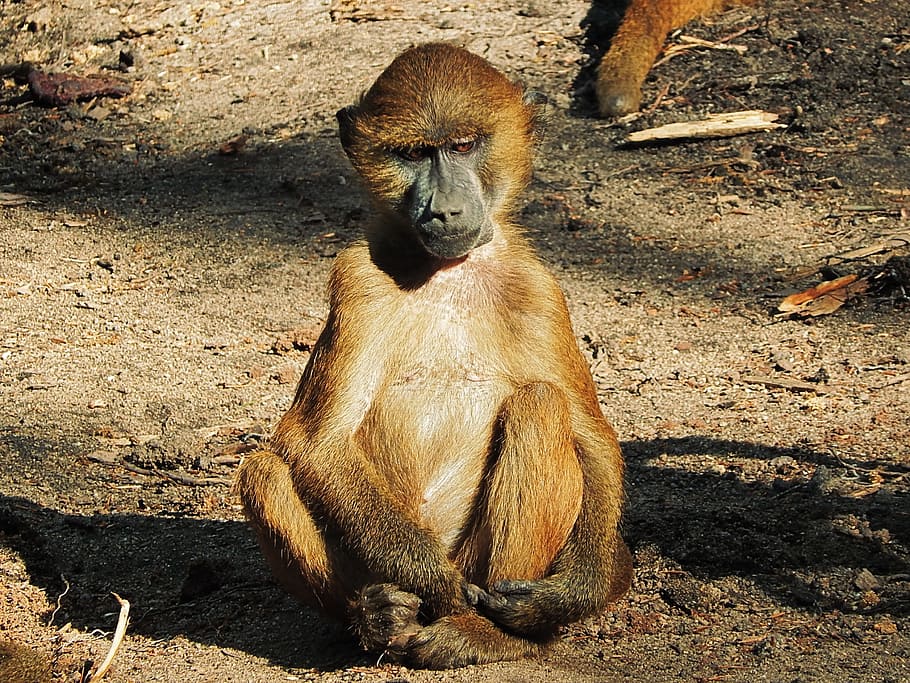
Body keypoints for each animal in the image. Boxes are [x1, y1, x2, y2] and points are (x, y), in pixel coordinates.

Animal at [236, 42, 632, 669]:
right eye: (414, 153)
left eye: (464, 145)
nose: (445, 210)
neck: (447, 273)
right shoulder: (356, 282)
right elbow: (316, 442)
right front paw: (436, 588)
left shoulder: (541, 291)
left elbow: (591, 438)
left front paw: (572, 594)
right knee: (265, 470)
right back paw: (376, 618)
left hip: (485, 566)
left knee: (540, 406)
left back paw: (489, 634)